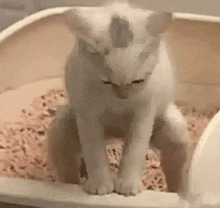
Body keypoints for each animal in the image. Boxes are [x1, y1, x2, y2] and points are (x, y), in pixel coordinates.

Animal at [47, 0, 190, 197]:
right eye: (106, 81)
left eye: (138, 81)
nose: (123, 95)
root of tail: (116, 135)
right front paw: (100, 184)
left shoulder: (144, 113)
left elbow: (135, 150)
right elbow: (93, 151)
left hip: (172, 128)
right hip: (65, 125)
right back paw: (73, 184)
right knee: (68, 168)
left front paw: (128, 184)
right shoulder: (86, 114)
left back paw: (177, 193)